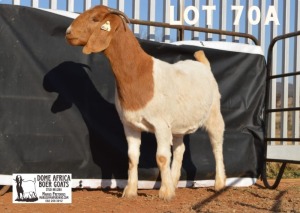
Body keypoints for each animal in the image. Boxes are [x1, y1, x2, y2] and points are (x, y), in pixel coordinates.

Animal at [65, 5, 225, 201]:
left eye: (95, 19)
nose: (68, 32)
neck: (140, 73)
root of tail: (203, 64)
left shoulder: (161, 125)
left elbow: (162, 157)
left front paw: (165, 193)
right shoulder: (130, 125)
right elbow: (132, 157)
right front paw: (130, 191)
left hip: (214, 114)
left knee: (217, 146)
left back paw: (219, 184)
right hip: (178, 124)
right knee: (180, 148)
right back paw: (174, 181)